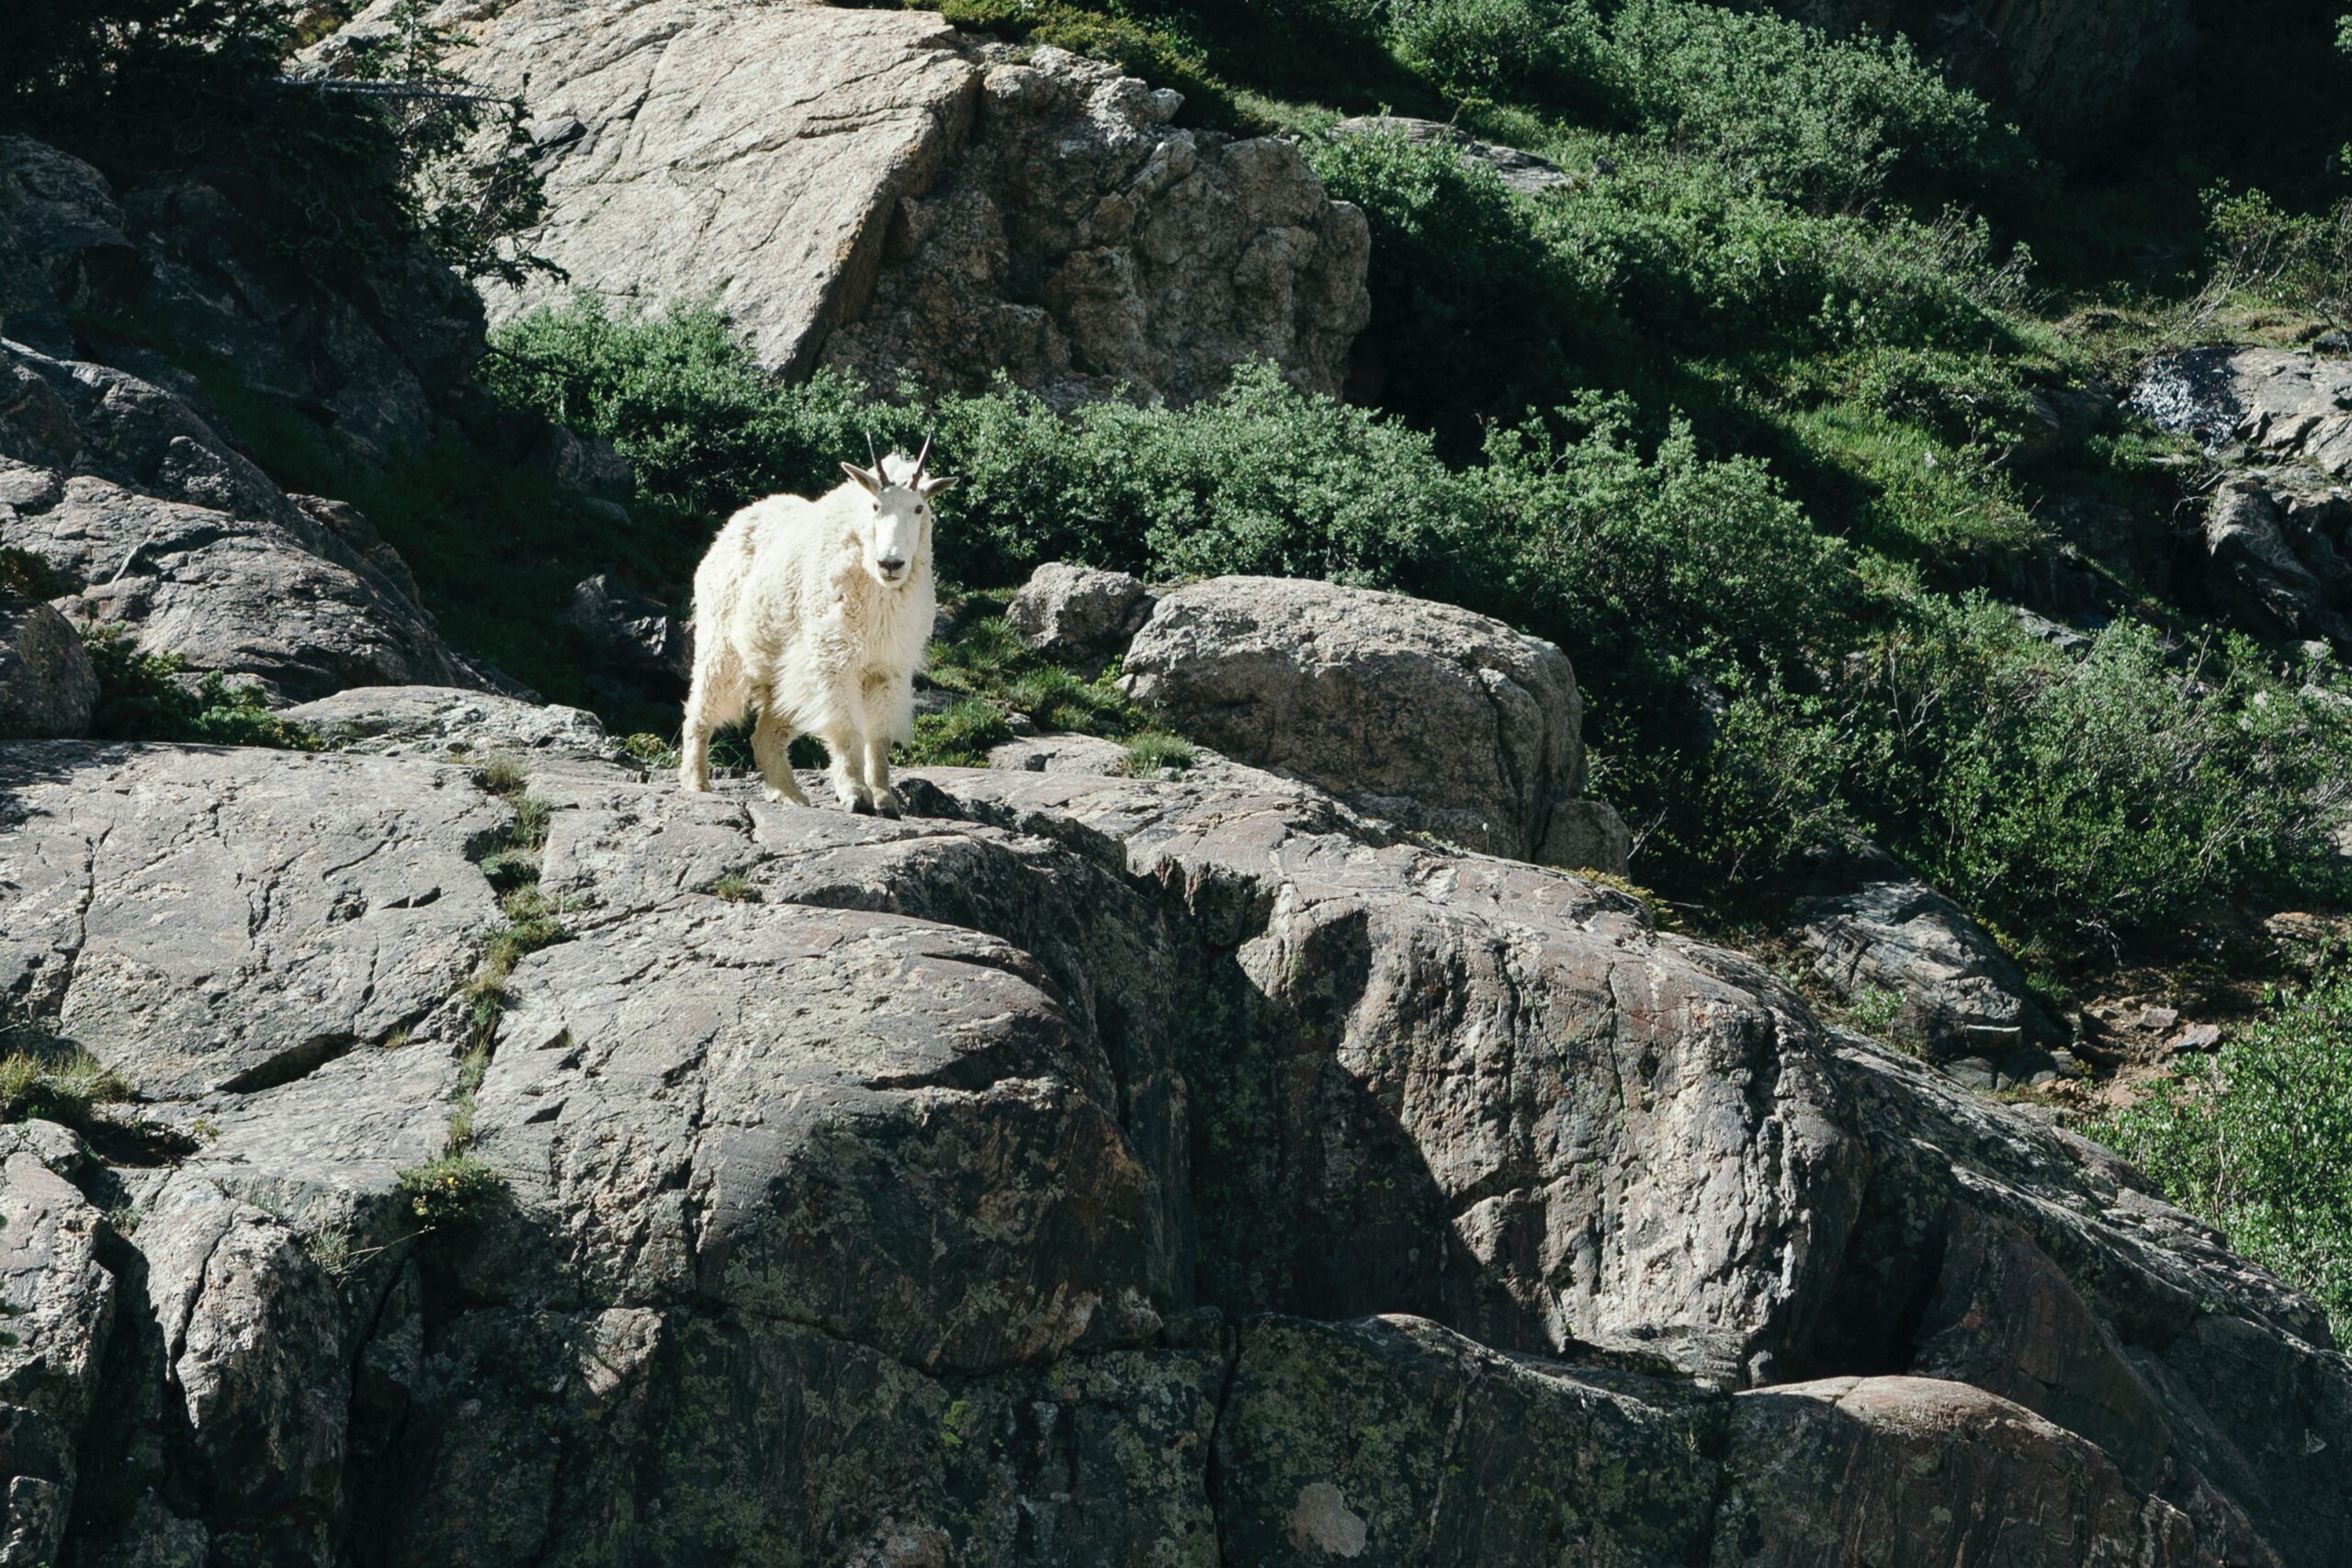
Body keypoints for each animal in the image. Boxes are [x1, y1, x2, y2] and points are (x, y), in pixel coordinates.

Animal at [677, 434, 950, 818]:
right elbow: (845, 727)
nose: (891, 563)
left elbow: (879, 737)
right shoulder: (833, 658)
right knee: (700, 711)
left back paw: (790, 795)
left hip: (782, 673)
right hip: (721, 647)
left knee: (765, 735)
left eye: (919, 508)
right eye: (875, 506)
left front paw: (885, 800)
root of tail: (726, 533)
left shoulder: (888, 668)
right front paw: (856, 796)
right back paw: (697, 783)